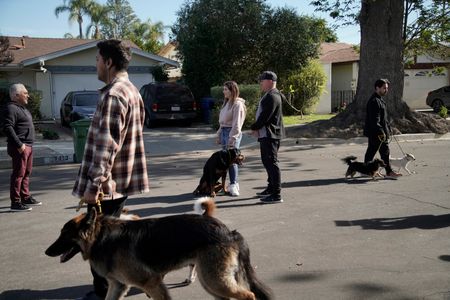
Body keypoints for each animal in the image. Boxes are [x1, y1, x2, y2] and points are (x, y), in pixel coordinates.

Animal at [45, 198, 272, 298]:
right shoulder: (119, 286)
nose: (46, 252)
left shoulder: (152, 283)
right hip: (210, 281)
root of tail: (229, 231)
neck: (102, 237)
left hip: (214, 280)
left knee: (248, 295)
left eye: (64, 235)